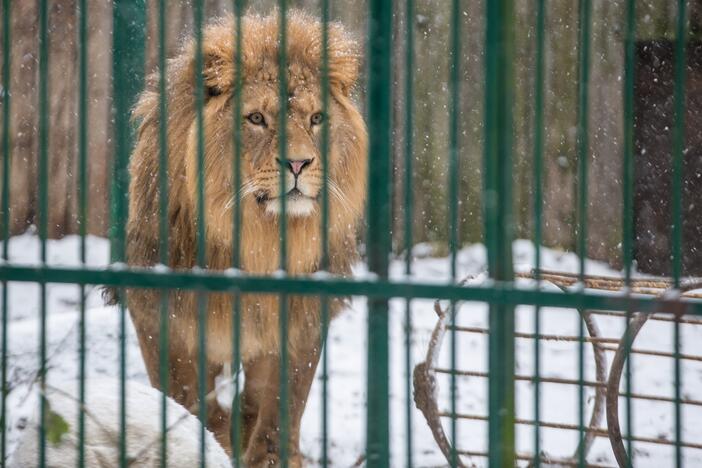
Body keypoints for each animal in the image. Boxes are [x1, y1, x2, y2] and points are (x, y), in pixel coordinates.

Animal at [122, 11, 368, 468]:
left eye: (316, 119)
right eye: (256, 119)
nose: (299, 163)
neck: (260, 239)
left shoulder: (300, 316)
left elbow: (280, 404)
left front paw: (270, 456)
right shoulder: (159, 310)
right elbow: (187, 399)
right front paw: (207, 443)